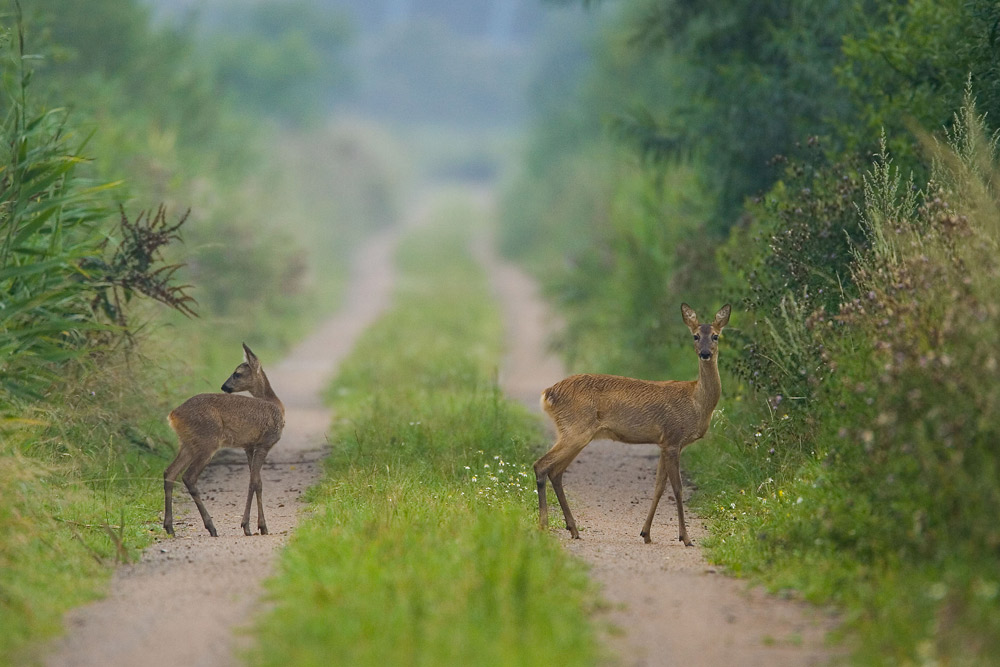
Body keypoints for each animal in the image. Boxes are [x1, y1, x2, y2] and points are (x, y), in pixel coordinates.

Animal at [162, 344, 284, 536]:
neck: (275, 405)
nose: (224, 386)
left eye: (237, 373)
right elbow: (255, 482)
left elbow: (256, 481)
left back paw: (169, 527)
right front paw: (253, 526)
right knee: (188, 476)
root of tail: (173, 415)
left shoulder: (249, 446)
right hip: (208, 441)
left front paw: (254, 526)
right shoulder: (265, 443)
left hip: (188, 444)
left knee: (170, 472)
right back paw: (211, 527)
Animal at [536, 302, 732, 548]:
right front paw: (685, 538)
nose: (705, 353)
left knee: (556, 472)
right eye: (695, 336)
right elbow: (677, 489)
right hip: (575, 430)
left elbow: (658, 488)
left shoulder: (663, 442)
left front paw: (646, 533)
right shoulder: (673, 438)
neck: (696, 401)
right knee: (541, 465)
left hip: (574, 434)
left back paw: (573, 529)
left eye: (715, 336)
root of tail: (548, 393)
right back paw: (544, 525)